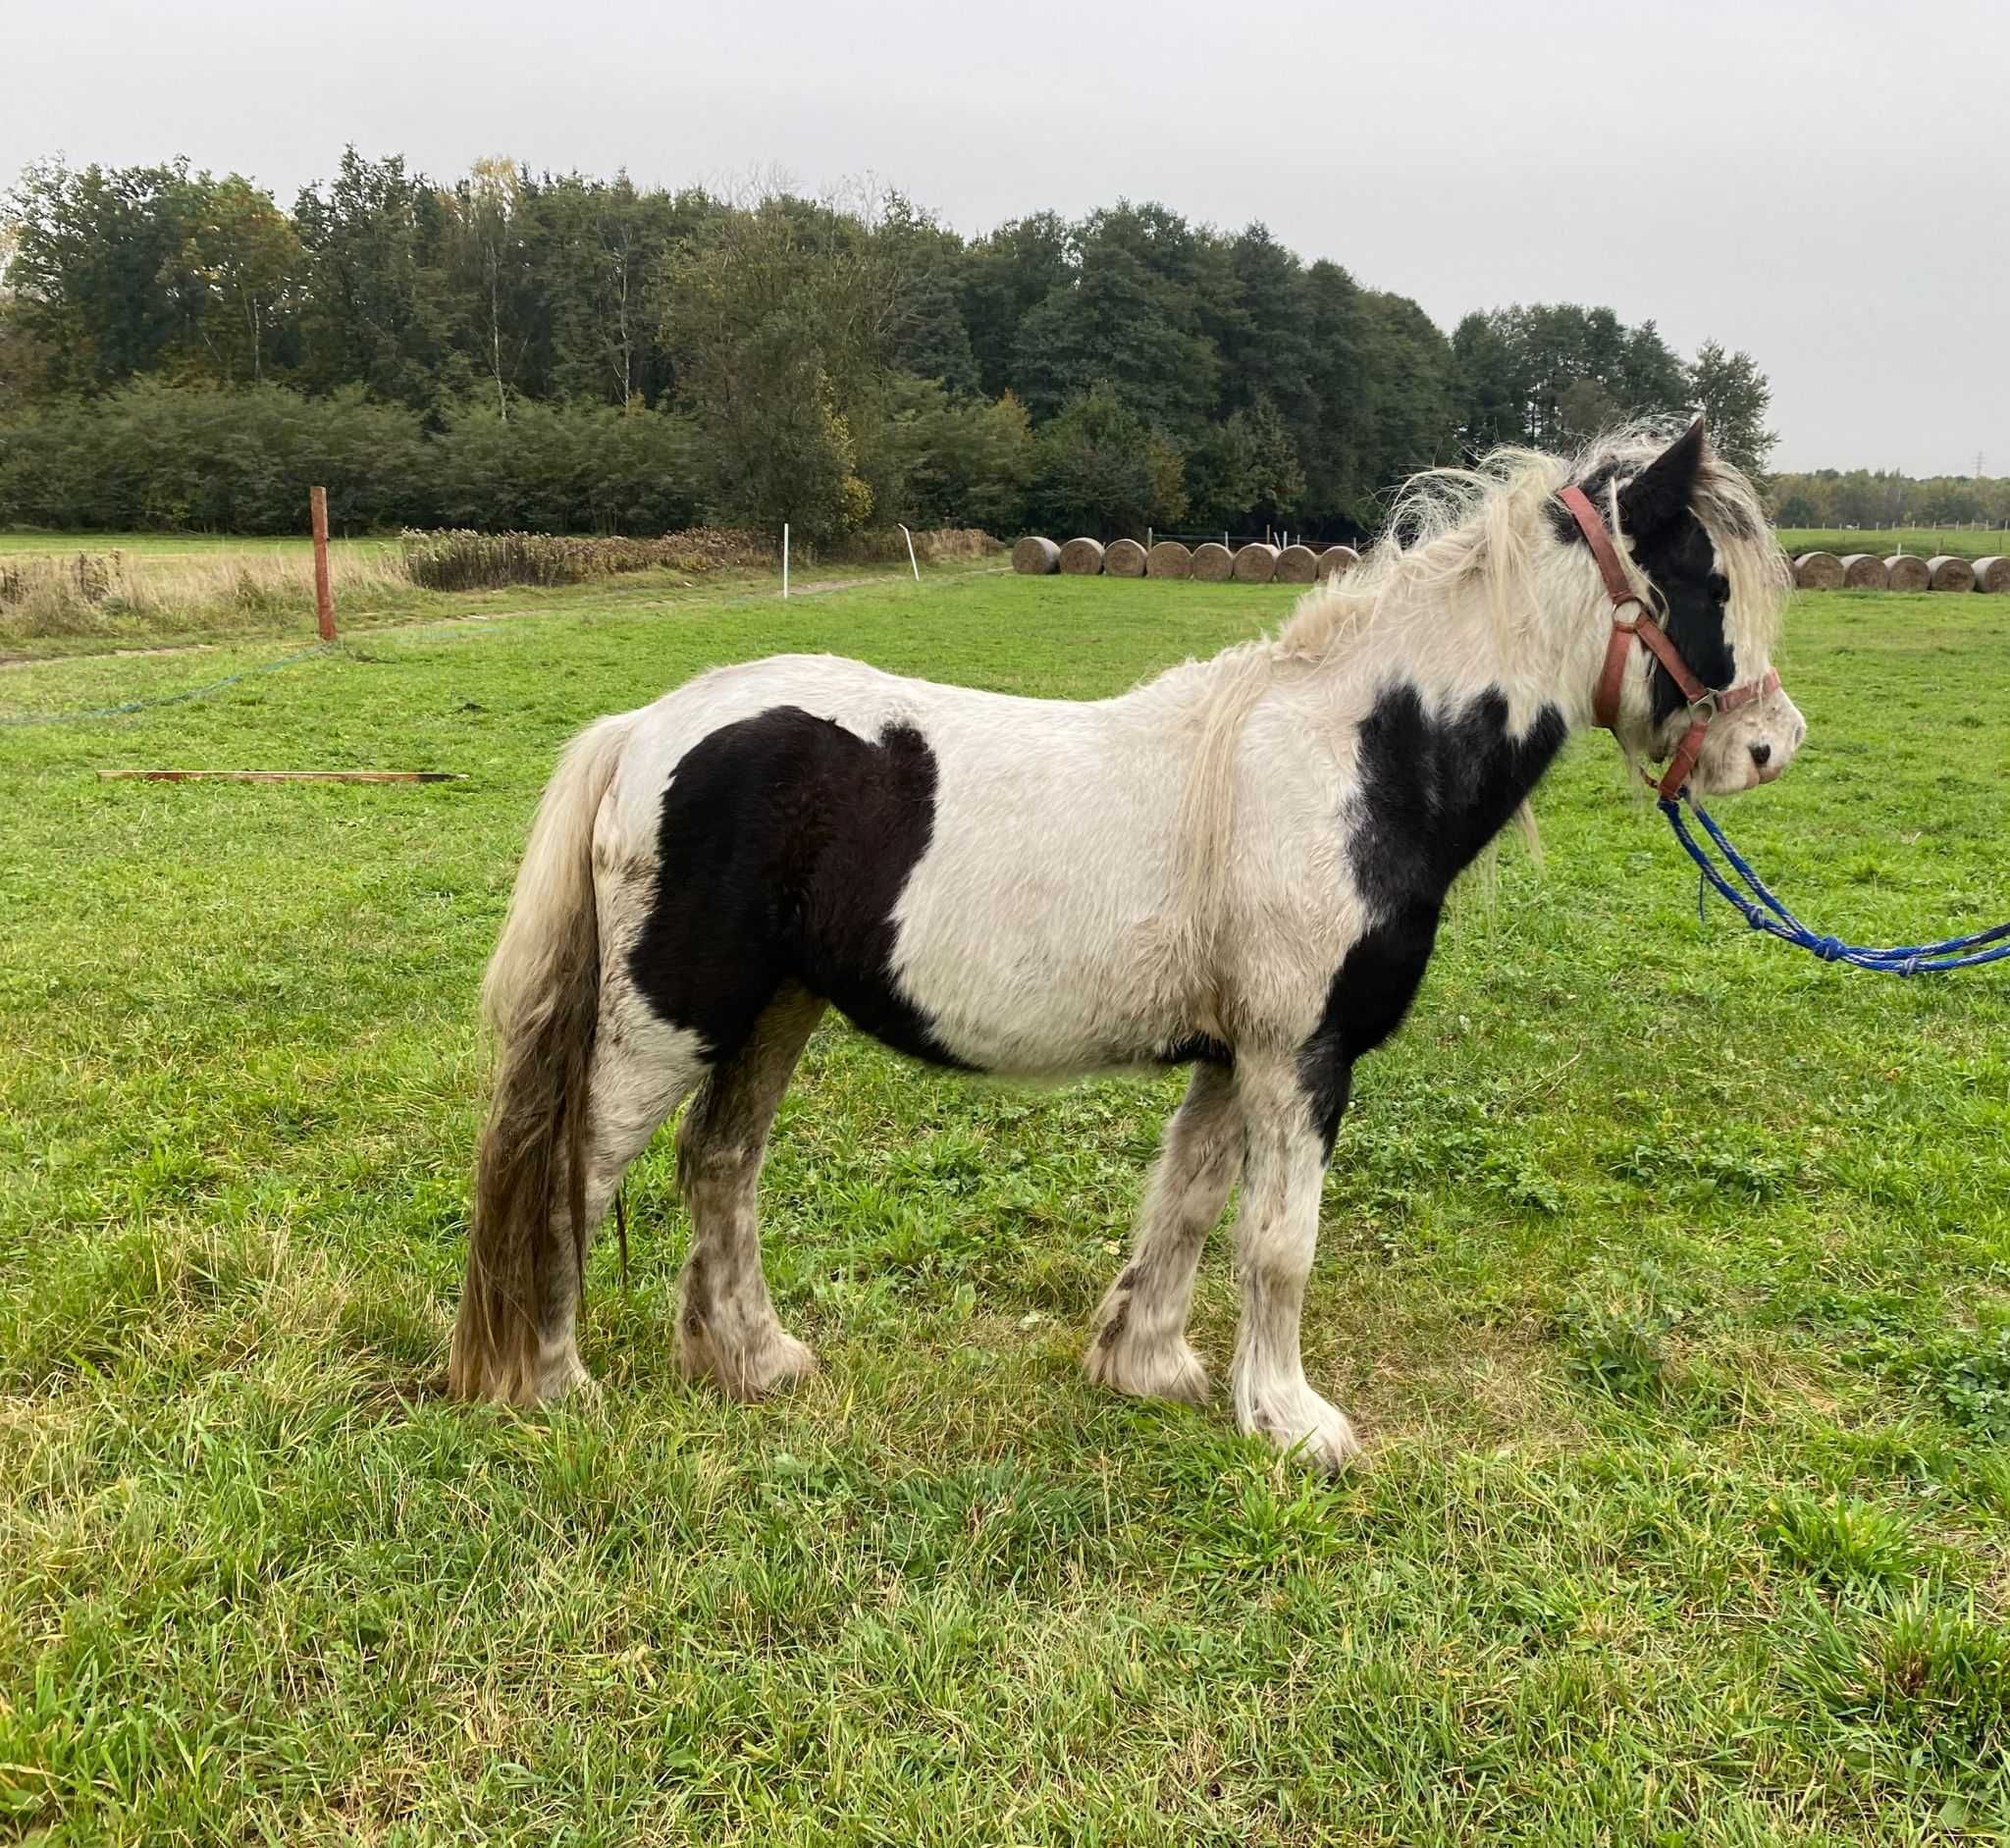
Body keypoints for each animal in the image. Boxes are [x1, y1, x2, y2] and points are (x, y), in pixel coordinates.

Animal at [455, 422, 1809, 1471]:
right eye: (1705, 584)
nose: (1770, 747)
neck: (1353, 760)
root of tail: (646, 726)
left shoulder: (1232, 1053)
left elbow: (1189, 1206)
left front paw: (1144, 1362)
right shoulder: (1299, 1055)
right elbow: (1278, 1242)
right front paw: (1294, 1422)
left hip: (773, 1007)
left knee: (720, 1165)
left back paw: (754, 1358)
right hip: (669, 1015)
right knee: (576, 1172)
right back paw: (558, 1383)